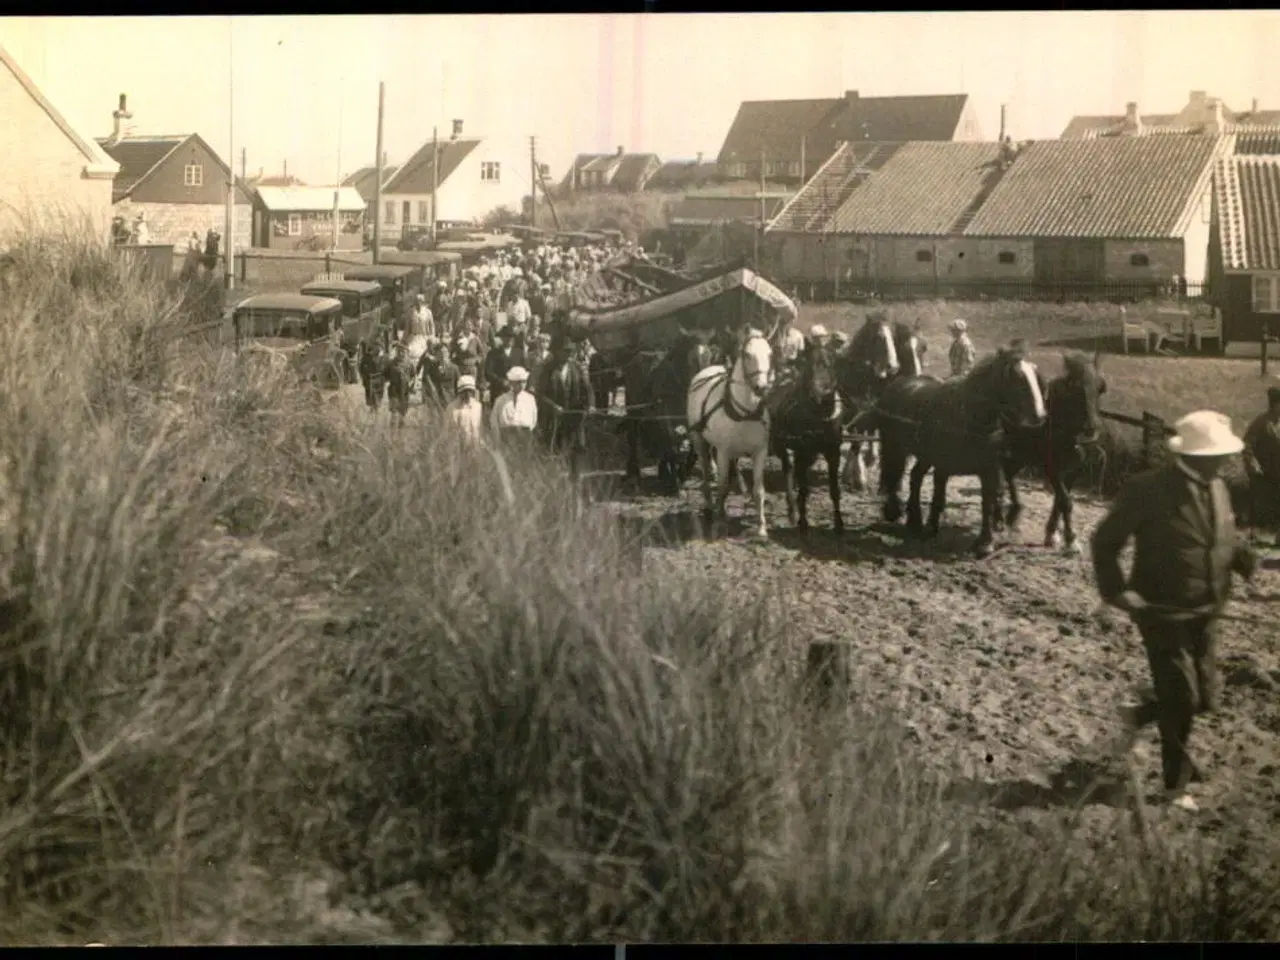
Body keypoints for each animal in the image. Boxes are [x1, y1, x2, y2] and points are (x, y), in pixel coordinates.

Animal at [686, 330, 773, 542]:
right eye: (747, 354)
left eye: (770, 354)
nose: (761, 387)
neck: (745, 412)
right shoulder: (723, 452)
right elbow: (723, 486)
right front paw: (720, 521)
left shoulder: (760, 451)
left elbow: (759, 490)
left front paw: (761, 528)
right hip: (699, 440)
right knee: (707, 472)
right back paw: (710, 508)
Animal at [762, 337, 844, 535]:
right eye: (809, 365)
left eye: (830, 362)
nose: (819, 391)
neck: (819, 416)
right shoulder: (802, 451)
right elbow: (804, 489)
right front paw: (803, 522)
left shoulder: (833, 453)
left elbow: (834, 489)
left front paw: (839, 523)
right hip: (780, 445)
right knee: (788, 470)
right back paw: (792, 510)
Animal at [880, 343, 1049, 555]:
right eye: (1016, 376)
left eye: (1035, 374)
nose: (1040, 415)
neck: (968, 416)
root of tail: (899, 383)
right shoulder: (943, 465)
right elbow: (938, 496)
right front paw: (932, 527)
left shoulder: (989, 469)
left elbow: (987, 502)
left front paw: (985, 542)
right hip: (894, 447)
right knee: (893, 475)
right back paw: (895, 511)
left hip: (925, 455)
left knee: (915, 476)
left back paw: (914, 520)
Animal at [993, 350, 1105, 555]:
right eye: (1074, 387)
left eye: (1100, 388)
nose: (1090, 429)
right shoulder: (1052, 469)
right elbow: (1066, 502)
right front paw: (1071, 540)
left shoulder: (1073, 470)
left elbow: (1060, 501)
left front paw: (1052, 534)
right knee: (1002, 469)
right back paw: (1004, 512)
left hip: (1023, 453)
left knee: (1009, 471)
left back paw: (1013, 510)